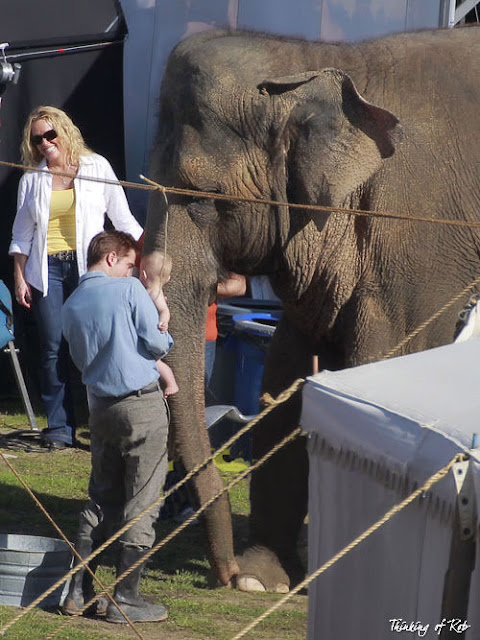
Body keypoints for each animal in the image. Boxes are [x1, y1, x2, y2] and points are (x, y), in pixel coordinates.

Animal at [141, 26, 480, 596]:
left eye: (205, 195)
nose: (225, 574)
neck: (318, 62)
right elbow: (286, 372)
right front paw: (264, 581)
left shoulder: (422, 242)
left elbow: (384, 359)